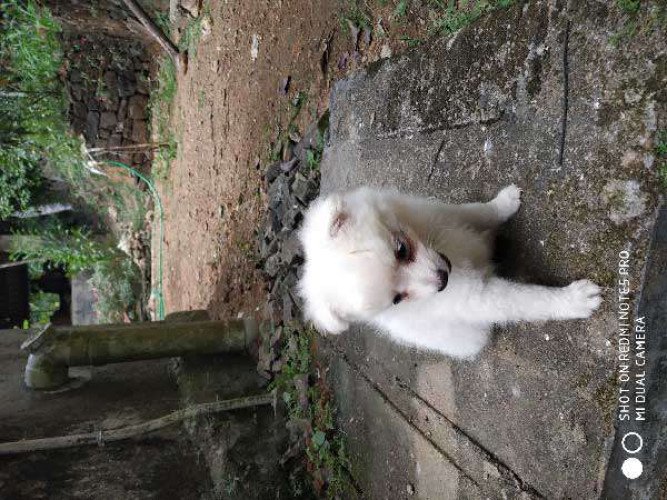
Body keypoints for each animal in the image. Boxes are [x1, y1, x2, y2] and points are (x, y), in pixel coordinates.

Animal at [300, 186, 604, 358]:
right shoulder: (475, 297)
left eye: (401, 250)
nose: (443, 279)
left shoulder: (440, 214)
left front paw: (504, 202)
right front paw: (573, 300)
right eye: (397, 299)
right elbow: (527, 300)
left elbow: (478, 211)